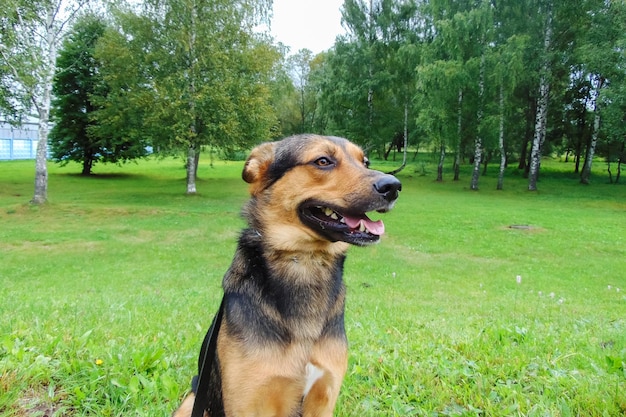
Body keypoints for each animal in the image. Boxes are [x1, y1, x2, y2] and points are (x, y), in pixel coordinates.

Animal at [173, 134, 402, 416]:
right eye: (323, 161)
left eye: (365, 162)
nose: (393, 186)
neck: (305, 260)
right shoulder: (248, 403)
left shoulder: (323, 398)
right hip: (191, 401)